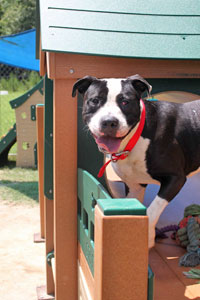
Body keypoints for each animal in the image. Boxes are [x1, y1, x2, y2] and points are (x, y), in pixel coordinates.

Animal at [72, 75, 200, 248]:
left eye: (125, 102)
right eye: (95, 100)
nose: (109, 122)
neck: (136, 138)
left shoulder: (176, 179)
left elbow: (152, 210)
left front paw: (147, 238)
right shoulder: (135, 186)